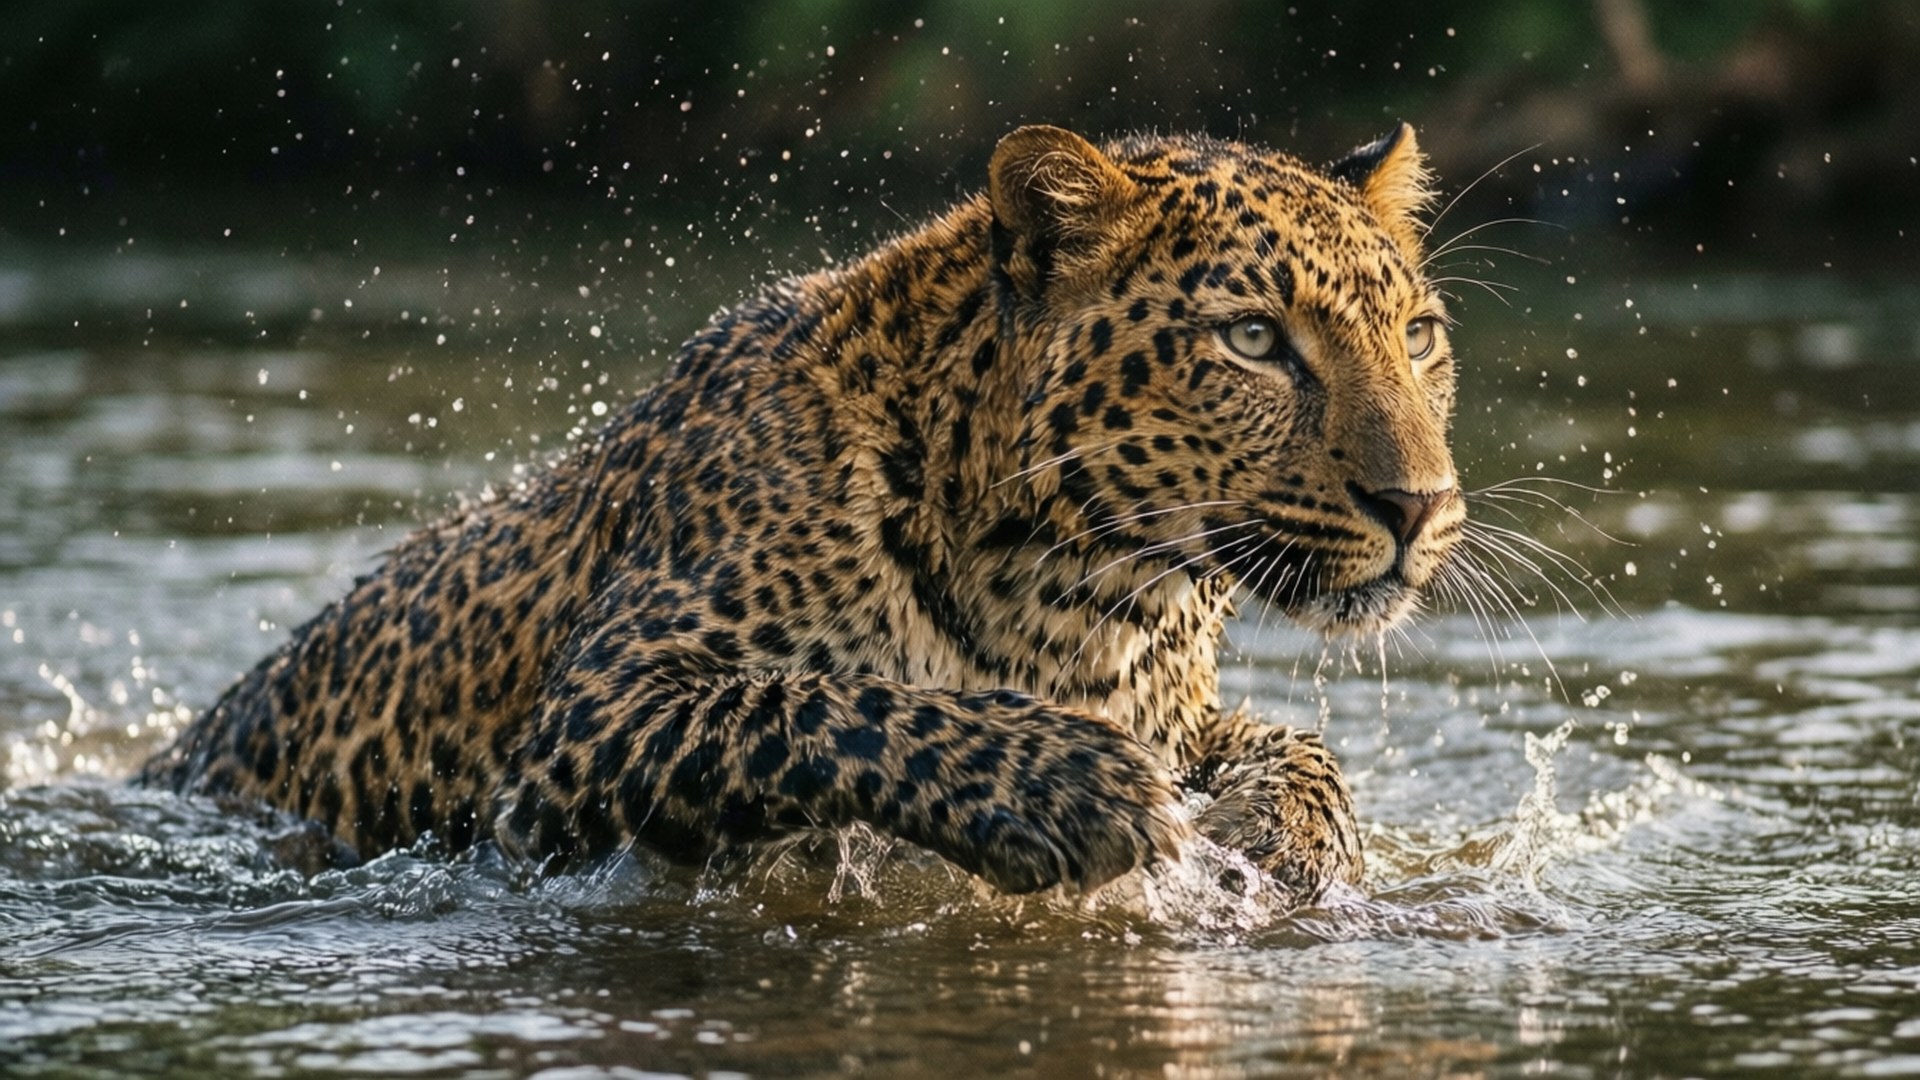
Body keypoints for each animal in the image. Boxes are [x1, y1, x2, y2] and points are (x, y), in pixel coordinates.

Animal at [137, 122, 1465, 902]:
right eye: (1253, 340)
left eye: (1417, 336)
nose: (1418, 505)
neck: (1078, 598)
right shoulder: (594, 717)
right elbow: (832, 702)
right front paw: (1072, 789)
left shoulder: (1174, 706)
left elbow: (1299, 747)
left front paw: (1290, 841)